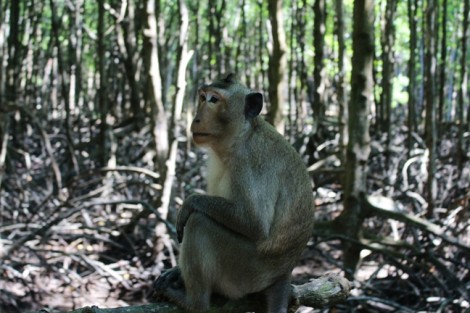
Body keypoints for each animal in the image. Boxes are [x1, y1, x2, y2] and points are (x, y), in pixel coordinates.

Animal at [155, 73, 316, 312]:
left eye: (214, 99)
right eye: (202, 97)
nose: (196, 119)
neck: (240, 136)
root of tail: (283, 274)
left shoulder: (249, 161)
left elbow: (254, 222)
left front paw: (190, 202)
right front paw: (174, 271)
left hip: (243, 272)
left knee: (199, 223)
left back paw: (192, 302)